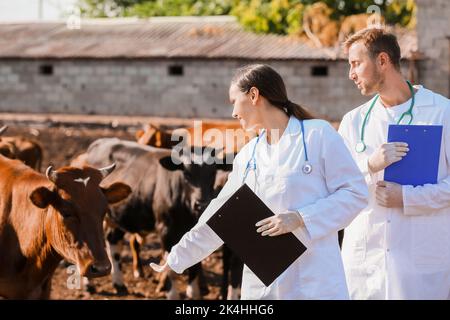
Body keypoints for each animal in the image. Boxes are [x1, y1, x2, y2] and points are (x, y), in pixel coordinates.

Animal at [77, 138, 230, 300]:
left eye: (213, 173)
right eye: (186, 173)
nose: (202, 204)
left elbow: (195, 264)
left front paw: (193, 294)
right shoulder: (166, 230)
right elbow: (170, 268)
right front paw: (172, 294)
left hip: (120, 215)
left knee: (113, 242)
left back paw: (119, 283)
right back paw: (89, 285)